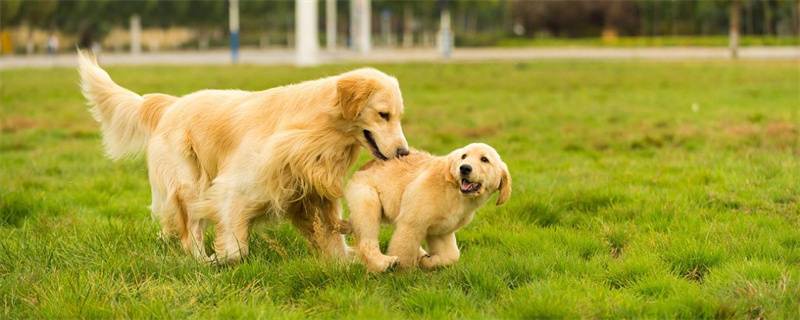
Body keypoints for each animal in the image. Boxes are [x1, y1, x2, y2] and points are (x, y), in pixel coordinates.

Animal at [78, 51, 410, 264]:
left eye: (398, 116)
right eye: (383, 114)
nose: (404, 152)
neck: (317, 128)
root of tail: (171, 104)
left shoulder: (315, 190)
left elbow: (332, 236)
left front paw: (351, 260)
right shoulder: (233, 187)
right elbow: (237, 246)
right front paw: (221, 258)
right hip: (189, 183)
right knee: (191, 231)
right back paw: (199, 260)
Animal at [346, 144, 510, 272]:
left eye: (485, 159)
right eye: (464, 156)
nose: (464, 168)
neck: (456, 194)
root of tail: (366, 165)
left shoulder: (442, 230)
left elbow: (452, 255)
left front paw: (426, 261)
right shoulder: (412, 223)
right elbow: (405, 251)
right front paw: (402, 277)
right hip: (367, 197)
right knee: (367, 238)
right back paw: (384, 263)